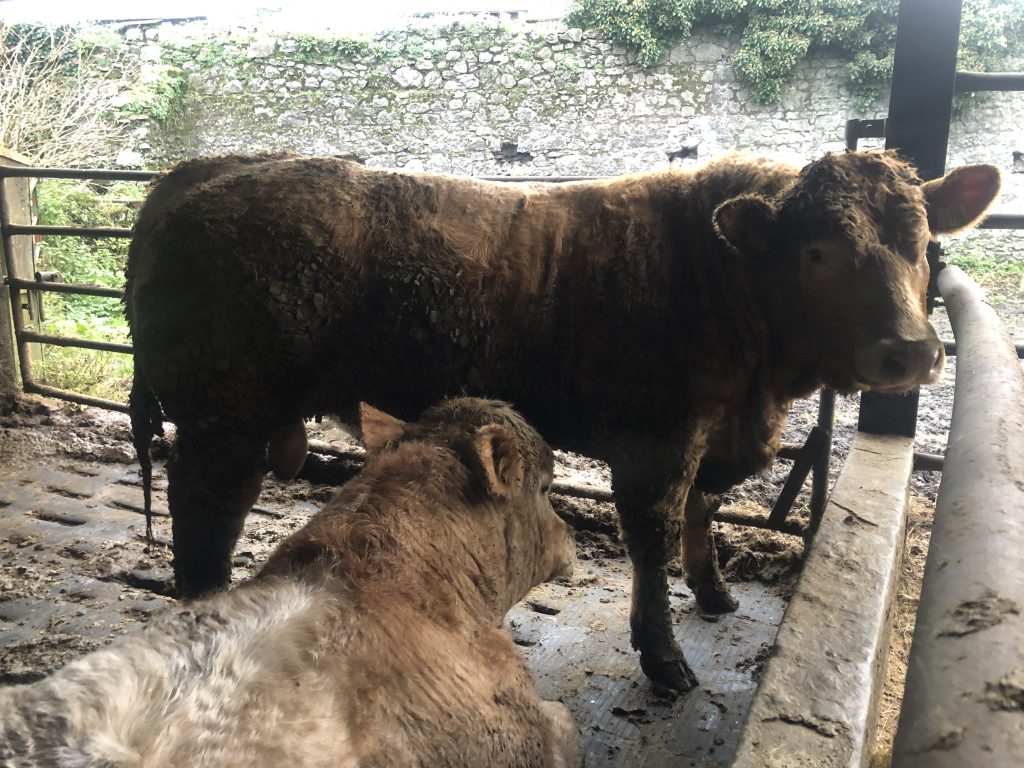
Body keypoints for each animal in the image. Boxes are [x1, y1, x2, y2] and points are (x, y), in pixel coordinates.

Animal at [125, 150, 1000, 693]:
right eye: (817, 252)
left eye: (923, 243)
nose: (910, 351)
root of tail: (216, 165)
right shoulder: (656, 442)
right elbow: (653, 538)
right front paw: (665, 658)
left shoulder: (711, 434)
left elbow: (706, 511)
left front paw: (715, 592)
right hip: (224, 420)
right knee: (202, 522)